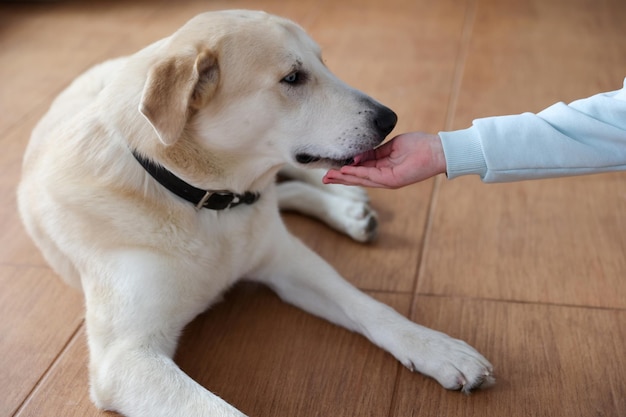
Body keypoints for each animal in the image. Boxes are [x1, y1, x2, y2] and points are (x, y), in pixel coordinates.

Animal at [17, 9, 490, 416]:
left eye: (323, 63)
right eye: (293, 78)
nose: (389, 119)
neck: (209, 204)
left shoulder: (289, 261)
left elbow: (370, 307)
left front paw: (438, 348)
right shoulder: (125, 358)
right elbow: (214, 409)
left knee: (288, 185)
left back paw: (347, 206)